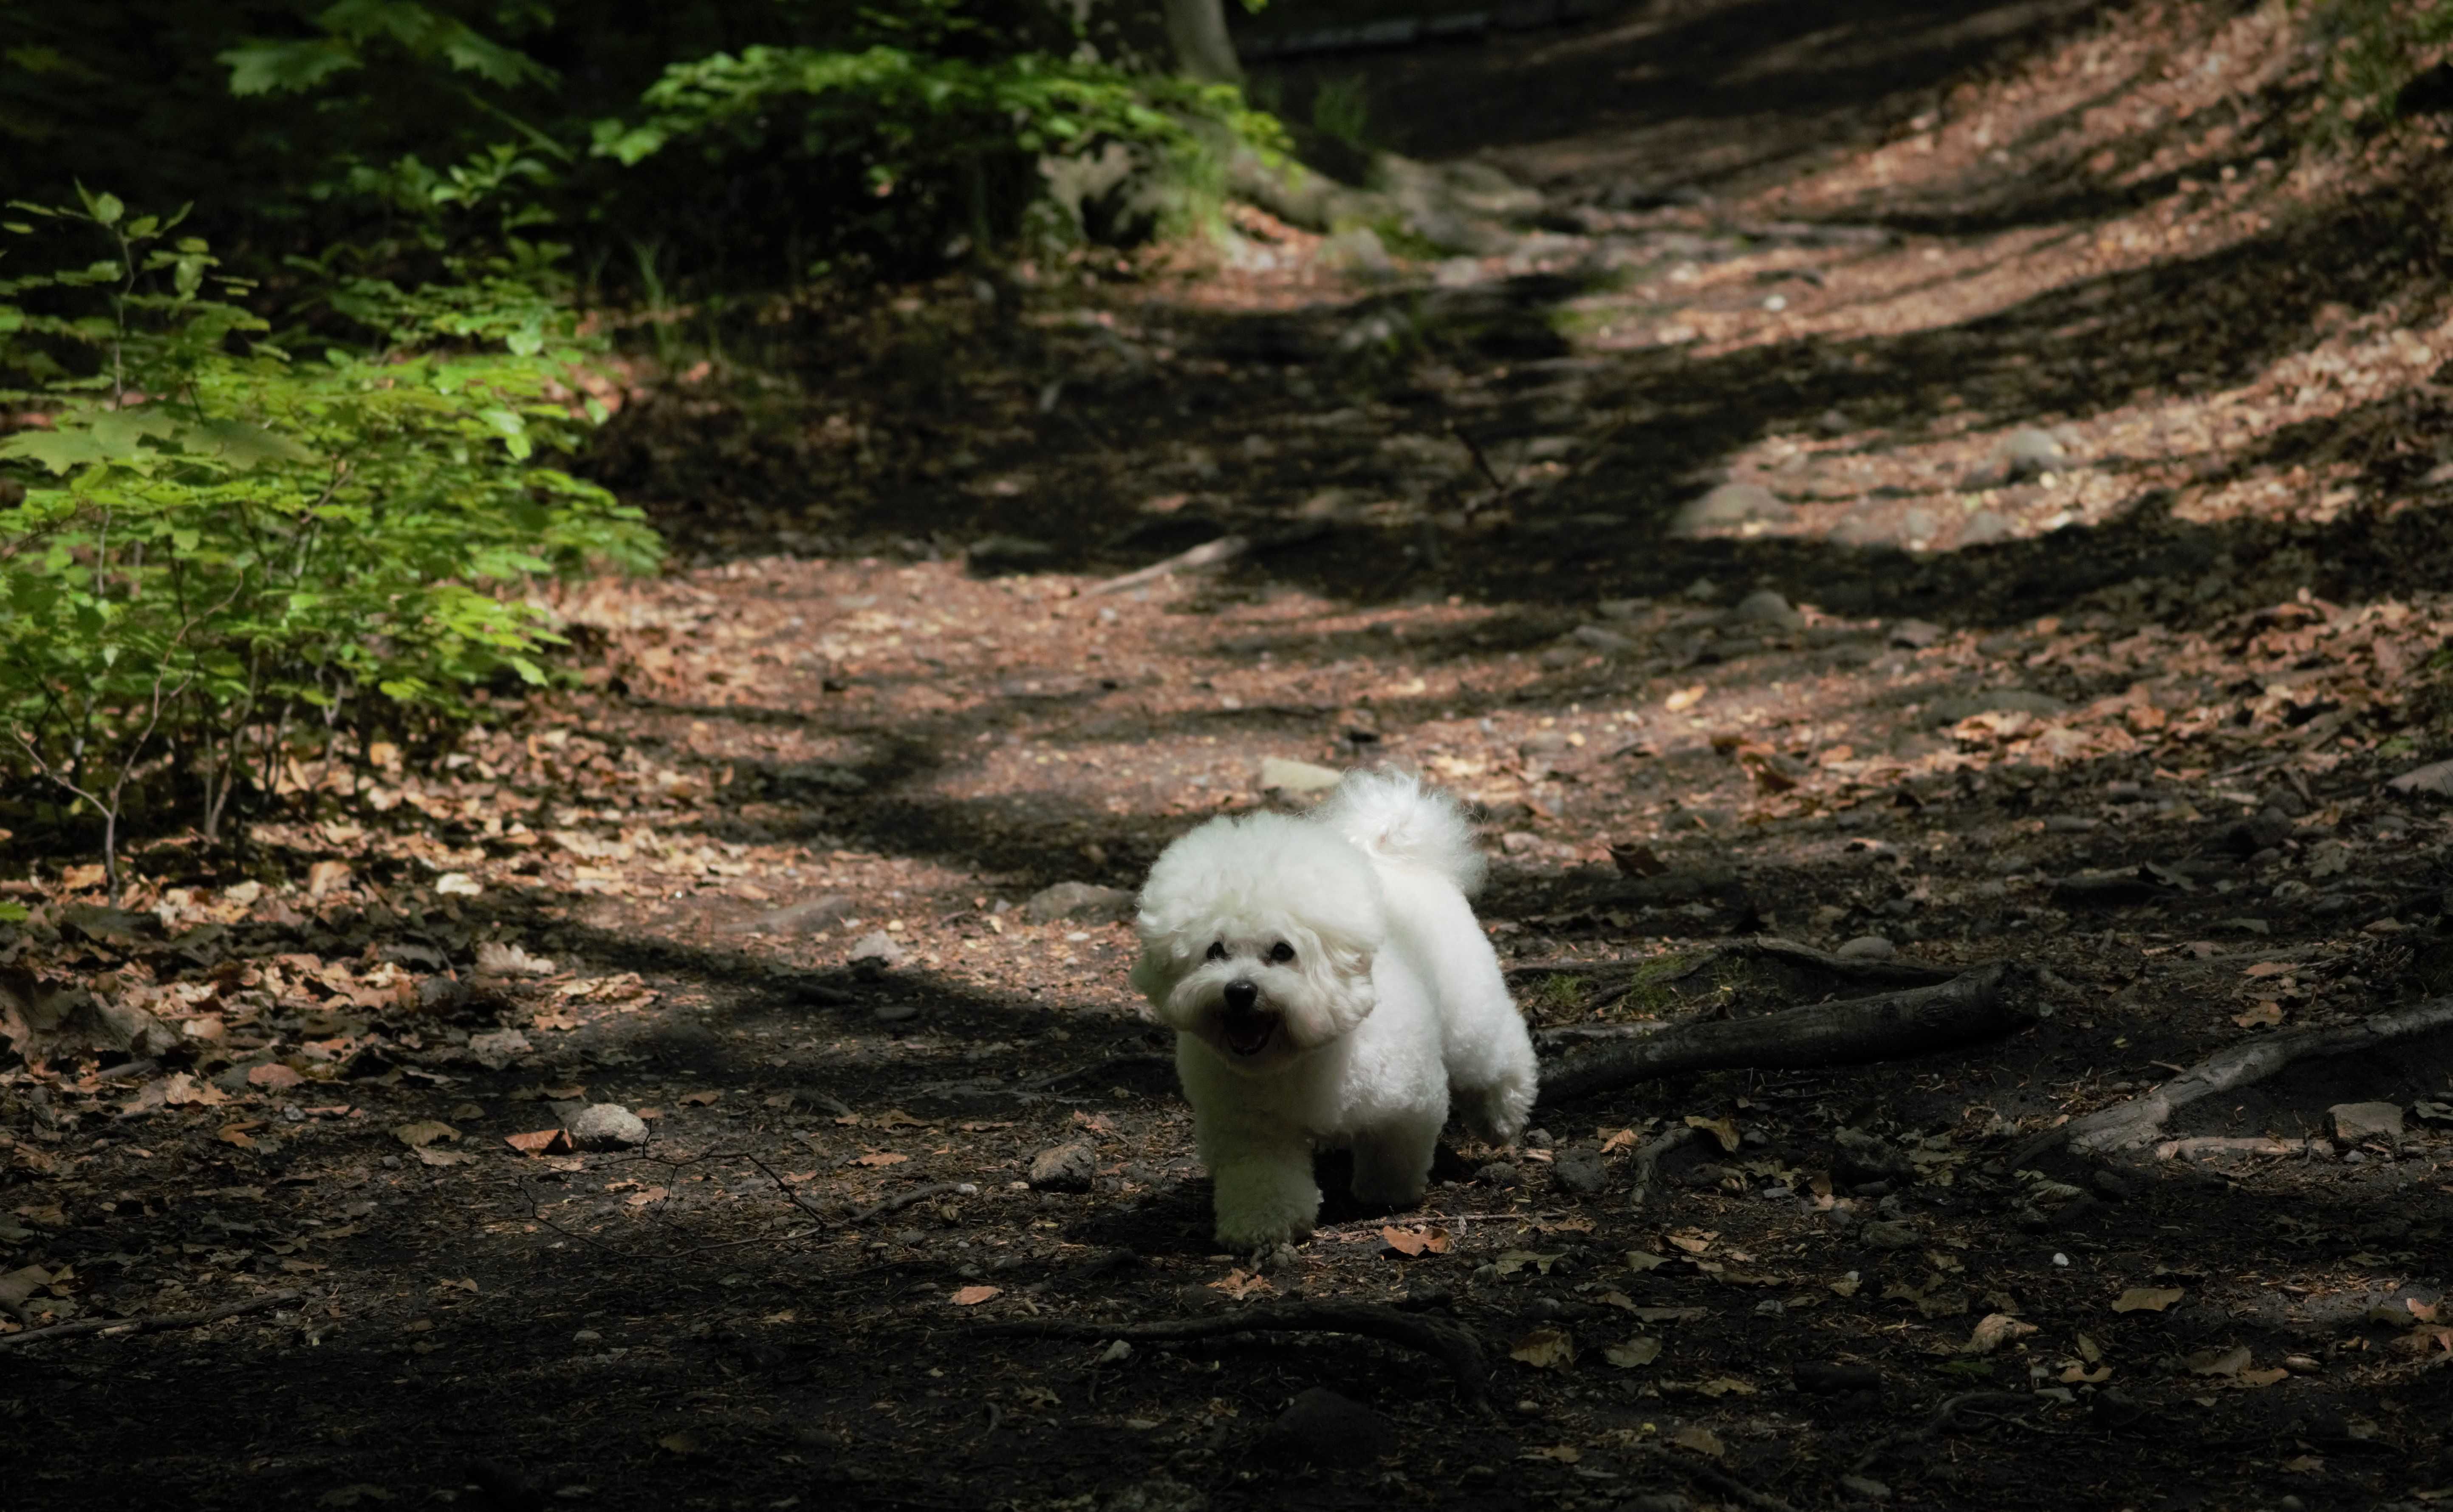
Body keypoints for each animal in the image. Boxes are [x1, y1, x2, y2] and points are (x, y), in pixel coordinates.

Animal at [1128, 766, 1530, 1252]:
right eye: (1215, 950)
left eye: (1282, 951)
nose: (1239, 991)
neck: (1298, 1055)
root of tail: (1396, 855)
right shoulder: (1251, 1128)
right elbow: (1263, 1177)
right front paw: (1261, 1227)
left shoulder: (1409, 1103)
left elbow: (1396, 1149)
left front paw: (1385, 1193)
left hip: (1468, 1008)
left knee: (1497, 1056)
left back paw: (1504, 1116)